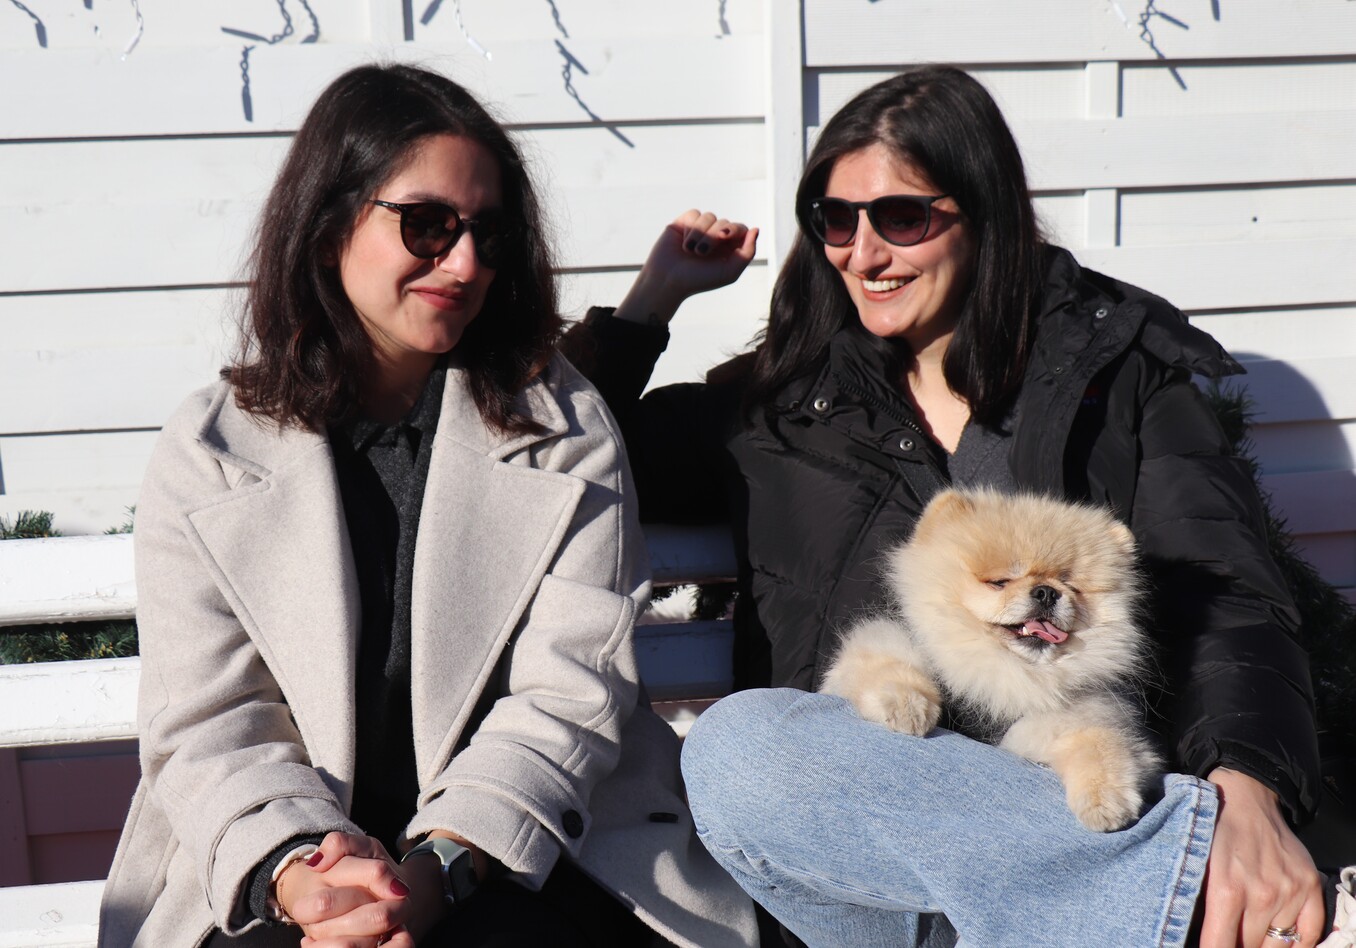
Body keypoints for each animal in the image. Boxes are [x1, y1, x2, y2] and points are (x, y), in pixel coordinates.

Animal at [820, 488, 1162, 831]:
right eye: (1000, 582)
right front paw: (909, 707)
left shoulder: (1080, 718)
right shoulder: (882, 646)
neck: (1005, 670)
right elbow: (886, 667)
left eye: (1071, 586)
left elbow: (1100, 746)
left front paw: (1106, 801)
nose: (1047, 591)